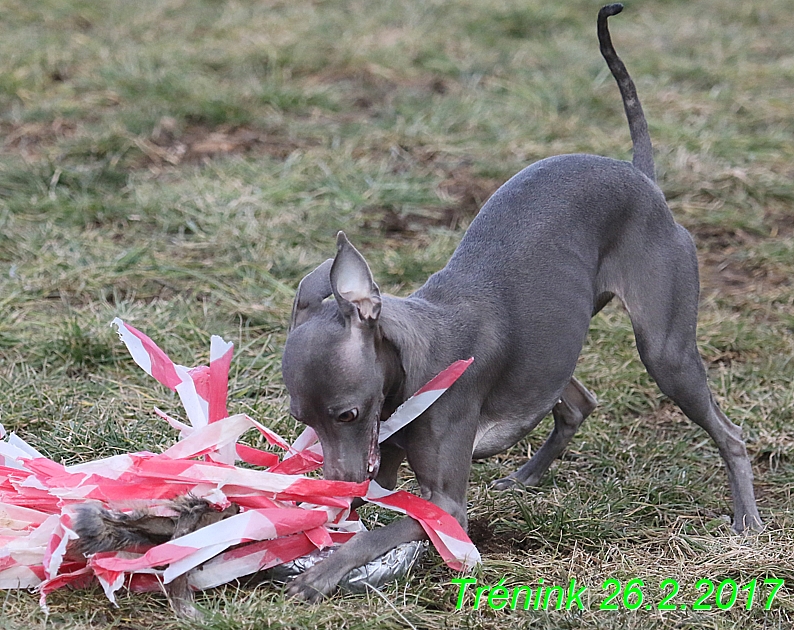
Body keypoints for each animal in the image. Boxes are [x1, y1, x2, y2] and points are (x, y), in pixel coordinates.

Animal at [278, 3, 760, 604]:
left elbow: (379, 532)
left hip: (665, 352)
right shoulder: (386, 465)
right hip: (557, 342)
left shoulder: (445, 503)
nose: (342, 487)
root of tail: (641, 176)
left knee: (728, 432)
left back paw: (747, 521)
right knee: (576, 402)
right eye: (301, 418)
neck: (415, 365)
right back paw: (528, 475)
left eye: (347, 413)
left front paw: (321, 573)